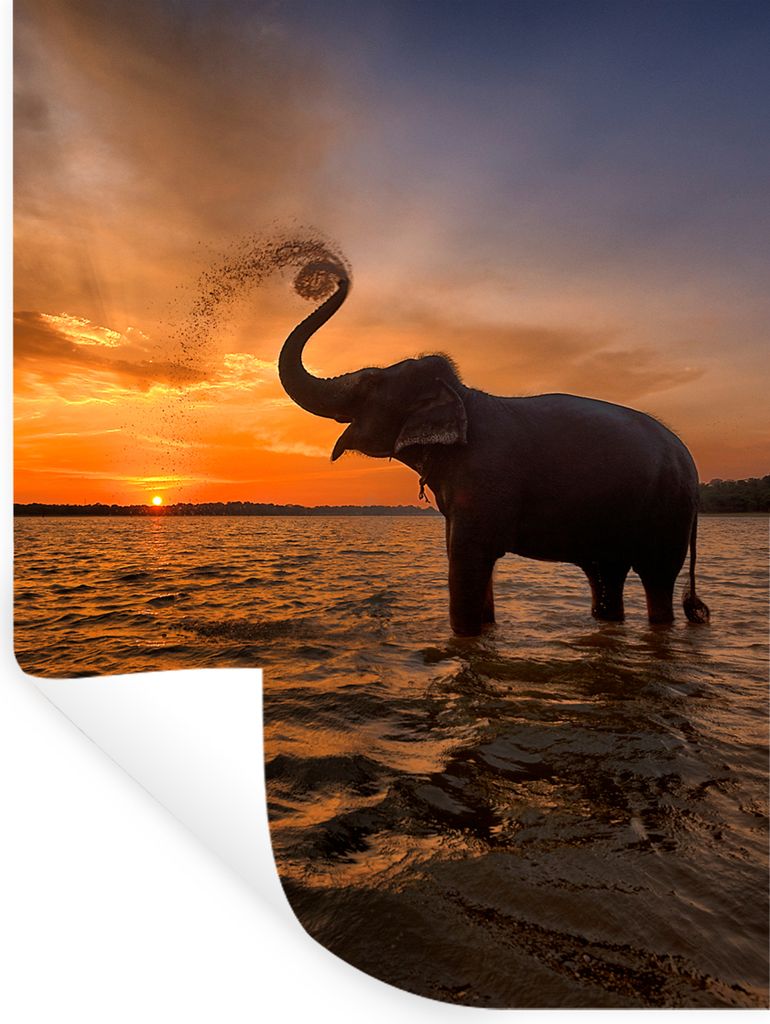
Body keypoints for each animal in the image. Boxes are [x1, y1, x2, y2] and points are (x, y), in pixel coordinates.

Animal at [278, 270, 710, 637]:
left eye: (369, 382)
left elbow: (467, 560)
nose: (333, 276)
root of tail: (690, 460)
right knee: (606, 576)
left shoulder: (485, 477)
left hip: (667, 513)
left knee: (656, 579)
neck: (465, 397)